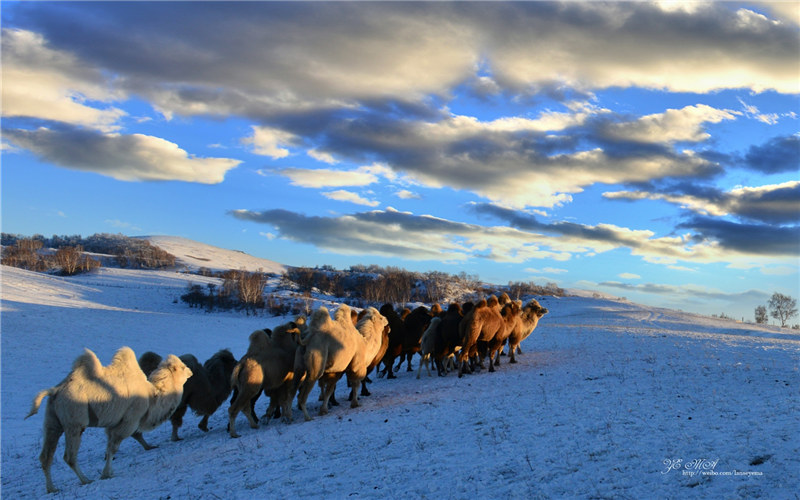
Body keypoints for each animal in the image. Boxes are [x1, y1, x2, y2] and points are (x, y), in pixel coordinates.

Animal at [25, 348, 191, 492]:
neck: (152, 397)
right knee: (69, 456)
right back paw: (86, 480)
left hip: (52, 421)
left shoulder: (115, 424)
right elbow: (113, 447)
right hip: (75, 421)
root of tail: (55, 391)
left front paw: (149, 447)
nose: (191, 371)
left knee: (46, 456)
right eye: (182, 367)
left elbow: (116, 443)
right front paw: (106, 474)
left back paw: (52, 489)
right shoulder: (130, 420)